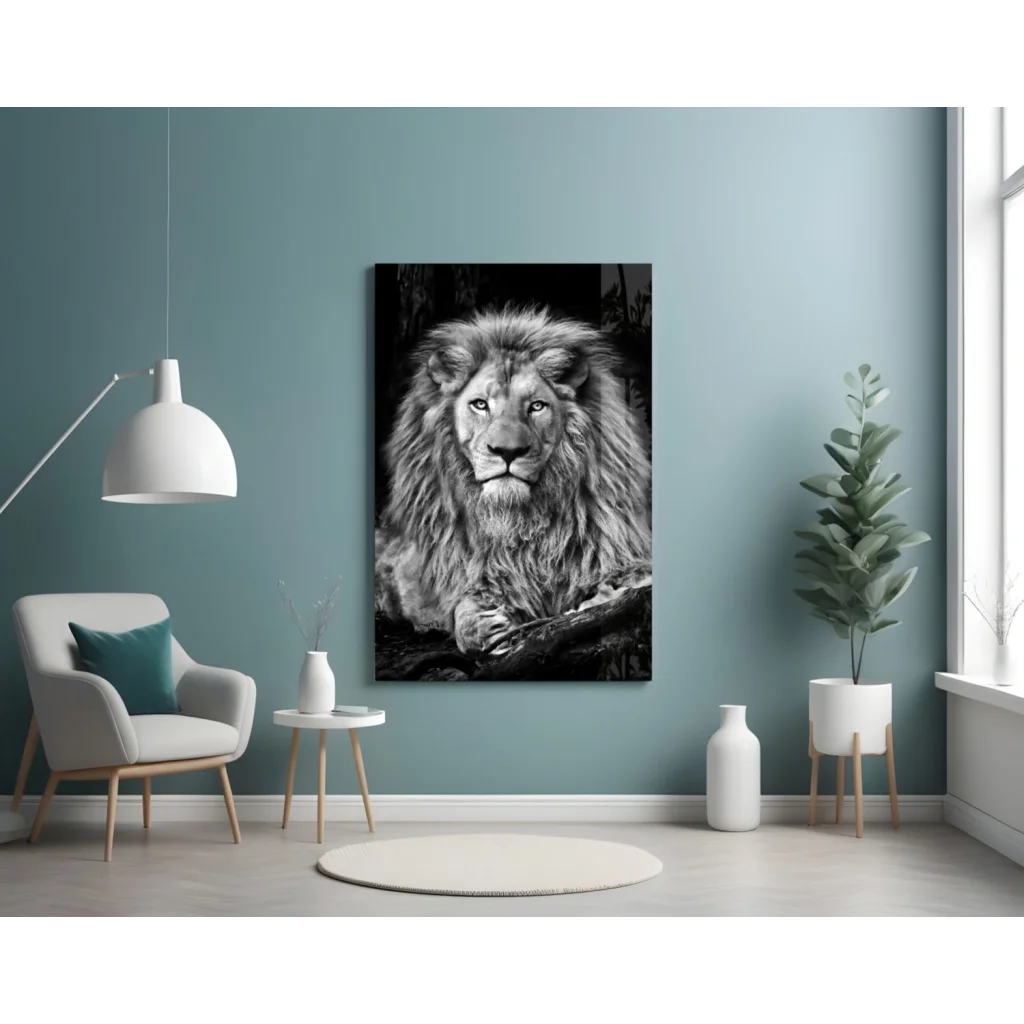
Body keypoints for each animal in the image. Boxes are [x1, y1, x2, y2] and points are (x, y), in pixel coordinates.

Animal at [375, 305, 652, 659]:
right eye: (480, 404)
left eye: (537, 406)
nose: (508, 451)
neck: (519, 521)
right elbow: (464, 614)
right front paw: (487, 627)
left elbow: (630, 582)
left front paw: (600, 598)